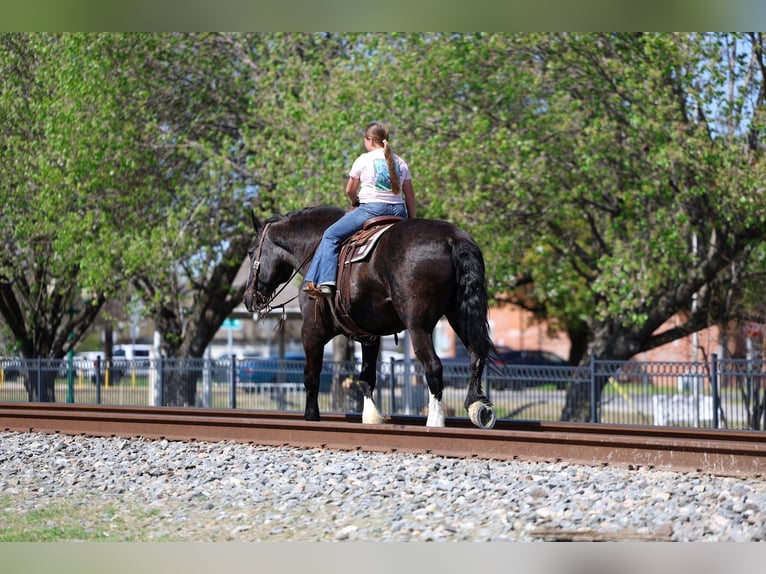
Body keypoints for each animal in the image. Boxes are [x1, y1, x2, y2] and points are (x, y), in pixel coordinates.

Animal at [243, 205, 496, 429]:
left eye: (250, 252)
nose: (247, 298)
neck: (314, 248)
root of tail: (453, 239)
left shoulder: (312, 331)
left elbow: (311, 375)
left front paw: (311, 416)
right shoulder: (370, 337)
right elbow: (366, 376)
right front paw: (371, 417)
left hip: (418, 325)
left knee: (433, 366)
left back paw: (435, 421)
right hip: (459, 314)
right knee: (476, 354)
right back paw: (477, 405)